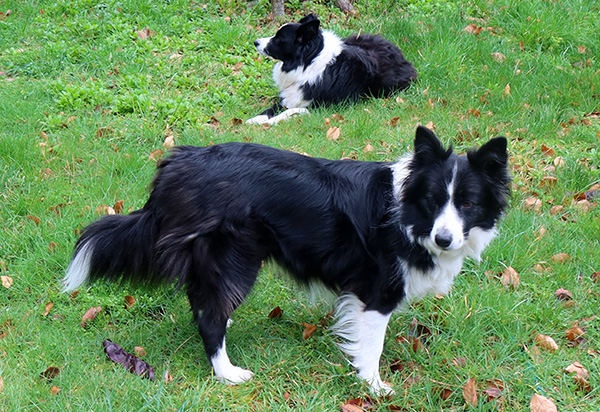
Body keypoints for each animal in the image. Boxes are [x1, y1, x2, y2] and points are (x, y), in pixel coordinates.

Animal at [63, 127, 508, 394]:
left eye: (467, 204)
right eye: (433, 200)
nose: (444, 239)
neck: (407, 214)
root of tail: (179, 164)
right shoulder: (376, 293)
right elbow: (372, 346)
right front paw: (374, 386)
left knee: (204, 302)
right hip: (237, 256)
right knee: (208, 317)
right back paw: (228, 372)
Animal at [246, 13, 414, 124]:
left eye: (279, 39)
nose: (255, 42)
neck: (308, 64)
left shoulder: (322, 107)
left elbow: (290, 111)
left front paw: (270, 122)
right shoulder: (292, 97)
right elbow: (271, 109)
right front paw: (255, 119)